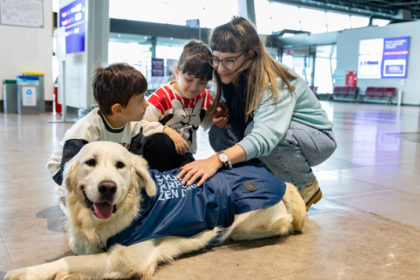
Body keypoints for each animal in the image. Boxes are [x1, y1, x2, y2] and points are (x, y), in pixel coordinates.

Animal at [5, 142, 306, 280]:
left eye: (121, 165)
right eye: (90, 162)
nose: (107, 187)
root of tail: (281, 182)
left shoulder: (127, 258)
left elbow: (71, 261)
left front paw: (27, 272)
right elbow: (77, 253)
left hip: (251, 219)